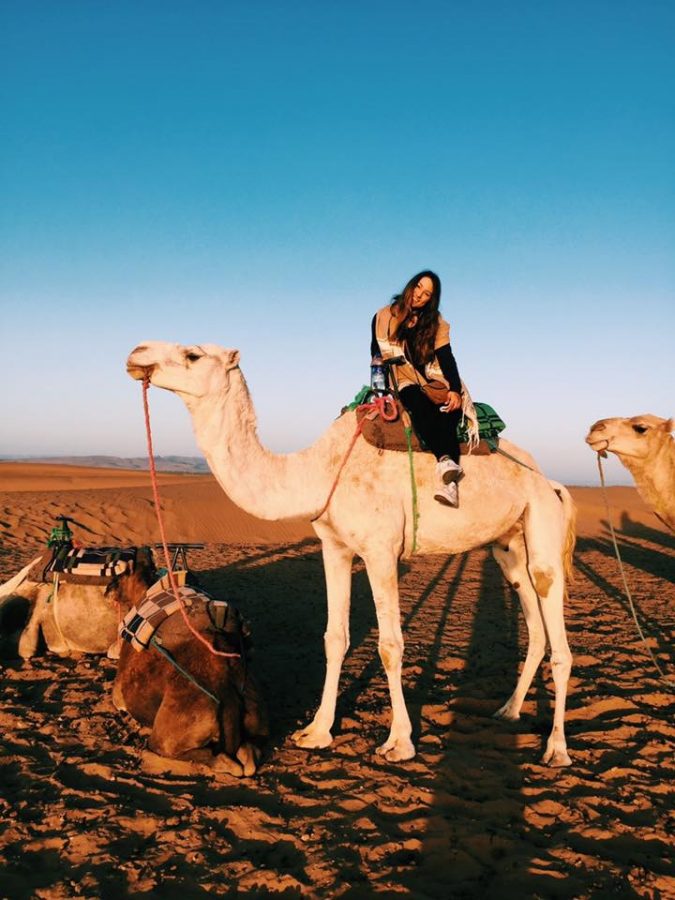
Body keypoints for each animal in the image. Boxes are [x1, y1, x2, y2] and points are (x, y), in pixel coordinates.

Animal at [112, 576, 268, 780]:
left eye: (117, 579)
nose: (109, 592)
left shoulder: (118, 694)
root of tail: (225, 689)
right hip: (256, 720)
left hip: (169, 736)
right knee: (248, 756)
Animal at [127, 344, 576, 768]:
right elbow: (334, 637)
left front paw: (399, 743)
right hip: (509, 547)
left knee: (559, 638)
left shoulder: (380, 551)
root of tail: (551, 483)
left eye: (192, 354)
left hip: (542, 529)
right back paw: (509, 711)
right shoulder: (335, 547)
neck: (320, 471)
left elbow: (390, 645)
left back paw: (556, 749)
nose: (136, 354)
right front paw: (316, 731)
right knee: (535, 628)